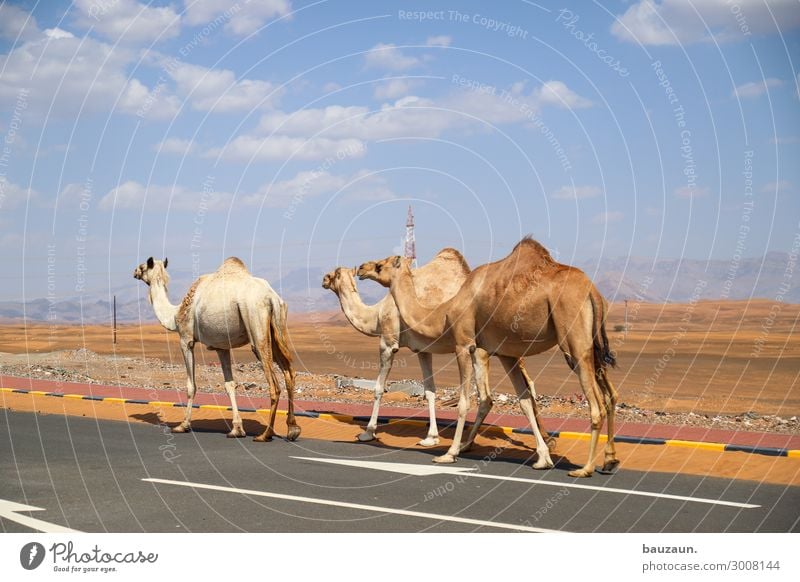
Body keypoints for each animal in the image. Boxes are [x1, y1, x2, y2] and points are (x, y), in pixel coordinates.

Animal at [134, 256, 300, 442]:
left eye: (142, 266)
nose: (135, 272)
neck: (175, 315)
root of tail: (271, 297)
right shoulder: (222, 347)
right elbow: (230, 385)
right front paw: (237, 429)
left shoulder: (186, 339)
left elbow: (191, 386)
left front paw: (183, 425)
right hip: (278, 327)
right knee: (289, 374)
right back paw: (292, 429)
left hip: (255, 321)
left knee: (273, 382)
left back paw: (265, 434)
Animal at [362, 237, 620, 480]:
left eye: (380, 265)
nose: (361, 268)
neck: (444, 312)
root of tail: (592, 291)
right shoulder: (505, 353)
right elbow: (524, 401)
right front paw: (543, 459)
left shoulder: (464, 343)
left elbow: (465, 402)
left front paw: (449, 453)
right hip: (594, 345)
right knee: (610, 395)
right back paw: (609, 460)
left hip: (574, 339)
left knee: (596, 404)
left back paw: (585, 468)